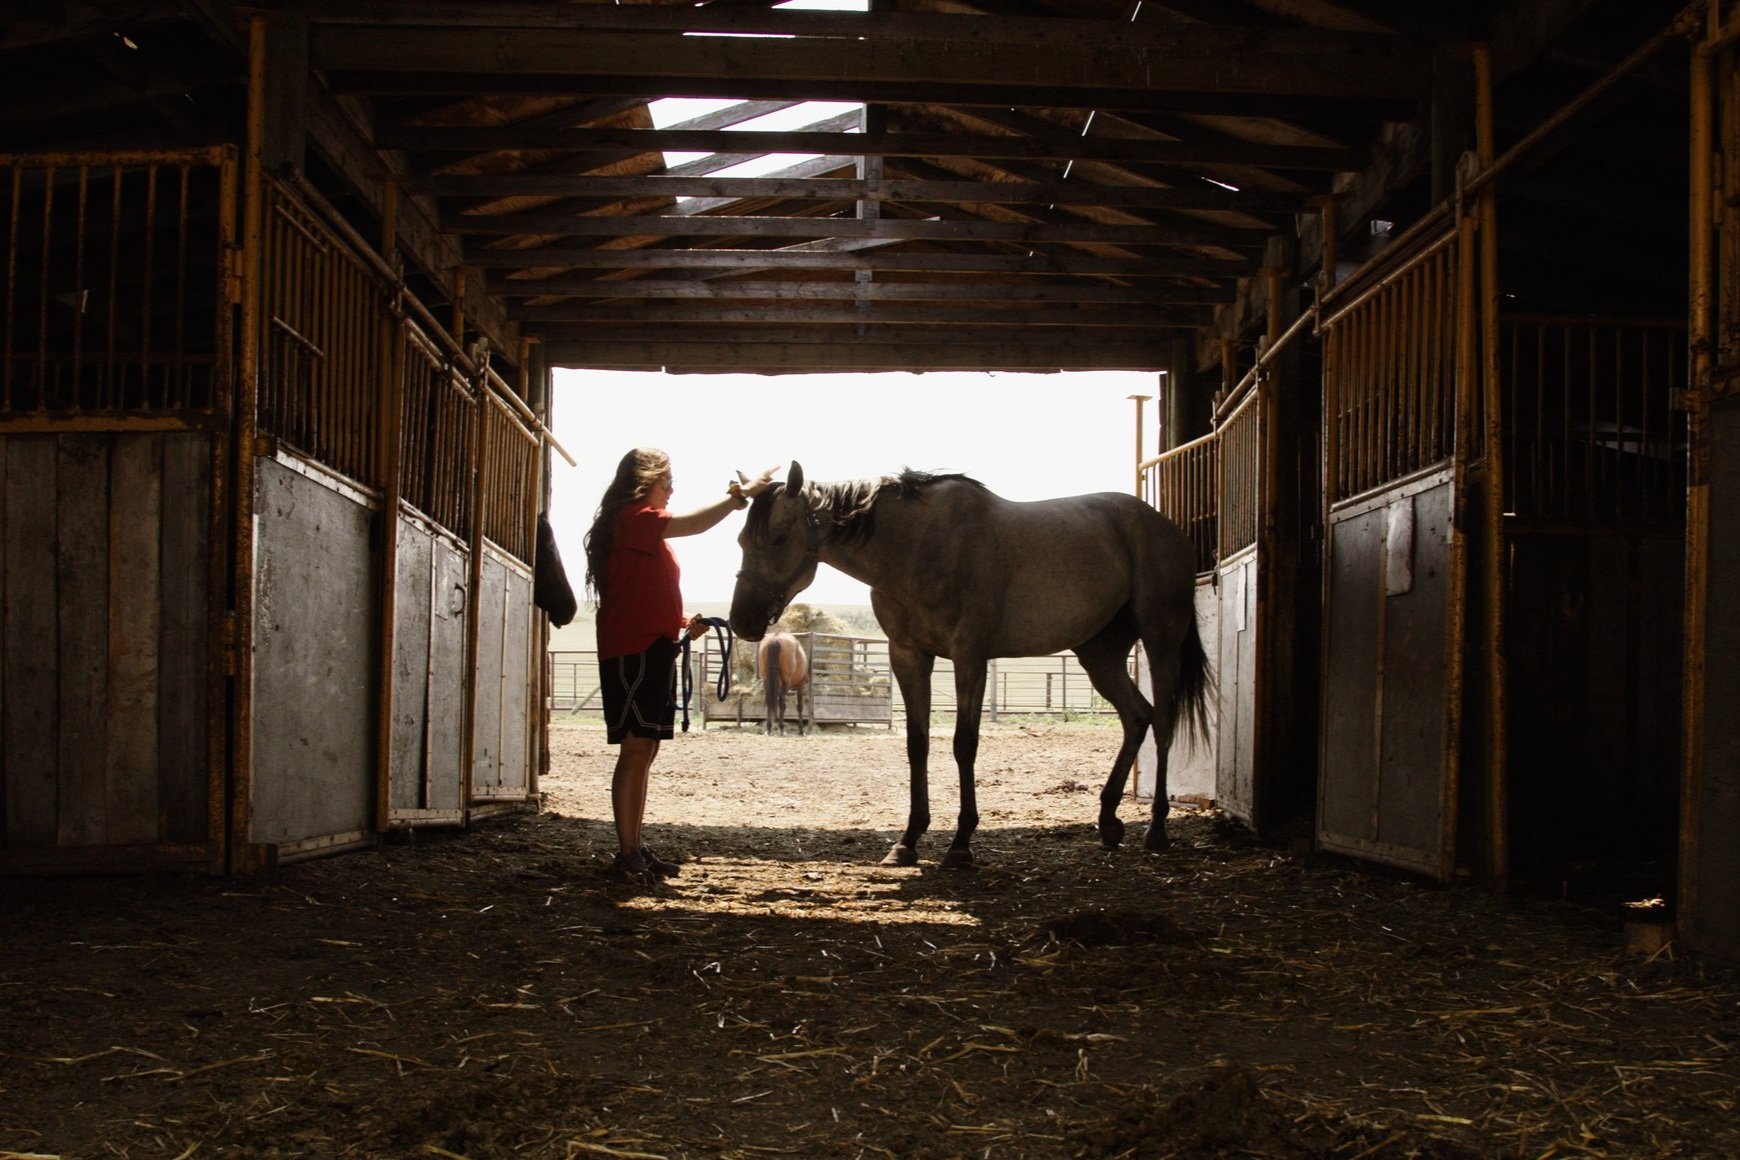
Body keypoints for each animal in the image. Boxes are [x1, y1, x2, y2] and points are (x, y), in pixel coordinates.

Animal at [729, 462, 1211, 869]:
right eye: (742, 541)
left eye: (777, 539)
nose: (742, 621)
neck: (918, 548)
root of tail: (1164, 528)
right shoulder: (908, 655)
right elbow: (917, 745)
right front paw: (907, 841)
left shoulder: (970, 657)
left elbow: (965, 745)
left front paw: (960, 845)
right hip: (1100, 653)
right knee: (1137, 716)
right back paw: (1109, 821)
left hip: (1160, 641)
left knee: (1162, 723)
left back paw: (1156, 829)